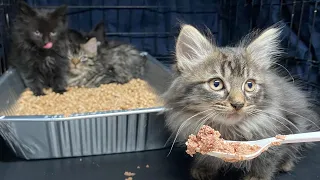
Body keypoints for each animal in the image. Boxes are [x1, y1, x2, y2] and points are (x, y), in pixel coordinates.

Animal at [162, 24, 320, 180]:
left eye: (249, 85)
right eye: (216, 84)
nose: (238, 104)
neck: (229, 131)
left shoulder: (279, 129)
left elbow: (268, 158)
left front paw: (258, 176)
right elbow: (209, 157)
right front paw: (204, 168)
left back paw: (285, 164)